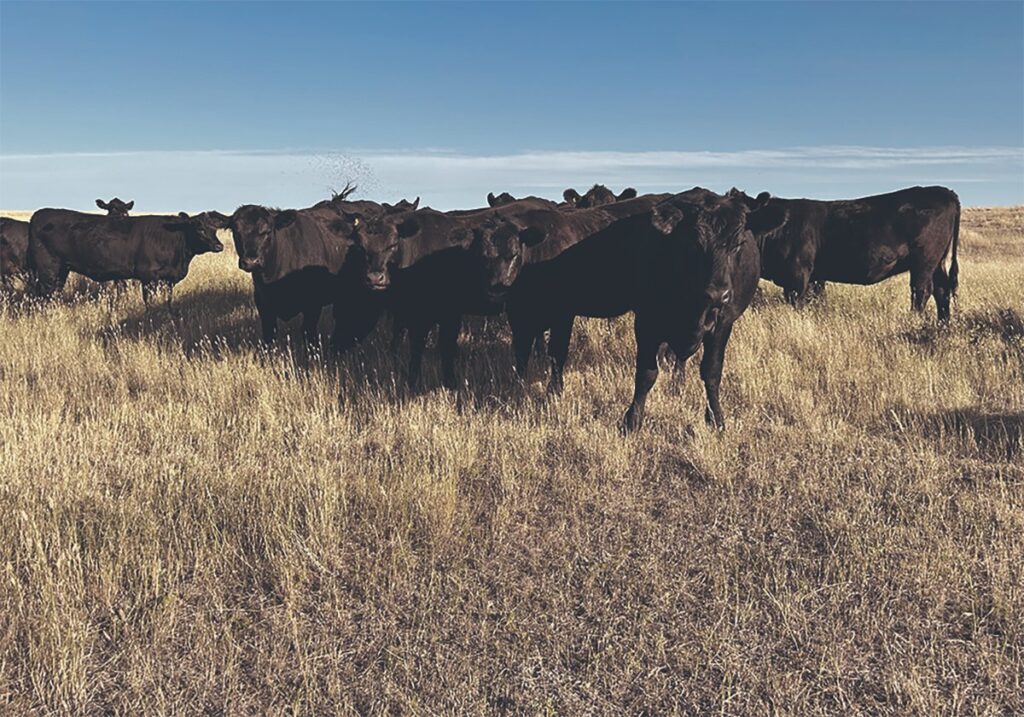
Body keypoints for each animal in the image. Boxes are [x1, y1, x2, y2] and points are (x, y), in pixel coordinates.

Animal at [27, 209, 225, 309]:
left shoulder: (168, 280)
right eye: (199, 229)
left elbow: (168, 303)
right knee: (45, 294)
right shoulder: (148, 277)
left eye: (214, 229)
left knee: (53, 293)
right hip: (48, 268)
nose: (219, 246)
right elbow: (150, 303)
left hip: (61, 269)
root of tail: (38, 214)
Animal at [478, 188, 779, 431]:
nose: (718, 293)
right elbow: (524, 357)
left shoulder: (723, 322)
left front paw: (716, 419)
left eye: (737, 244)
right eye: (693, 244)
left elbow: (711, 372)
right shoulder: (522, 315)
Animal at [729, 186, 960, 320]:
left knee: (921, 291)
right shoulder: (816, 277)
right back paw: (943, 324)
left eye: (746, 216)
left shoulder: (797, 275)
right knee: (942, 290)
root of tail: (946, 192)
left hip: (924, 262)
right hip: (937, 263)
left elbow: (797, 302)